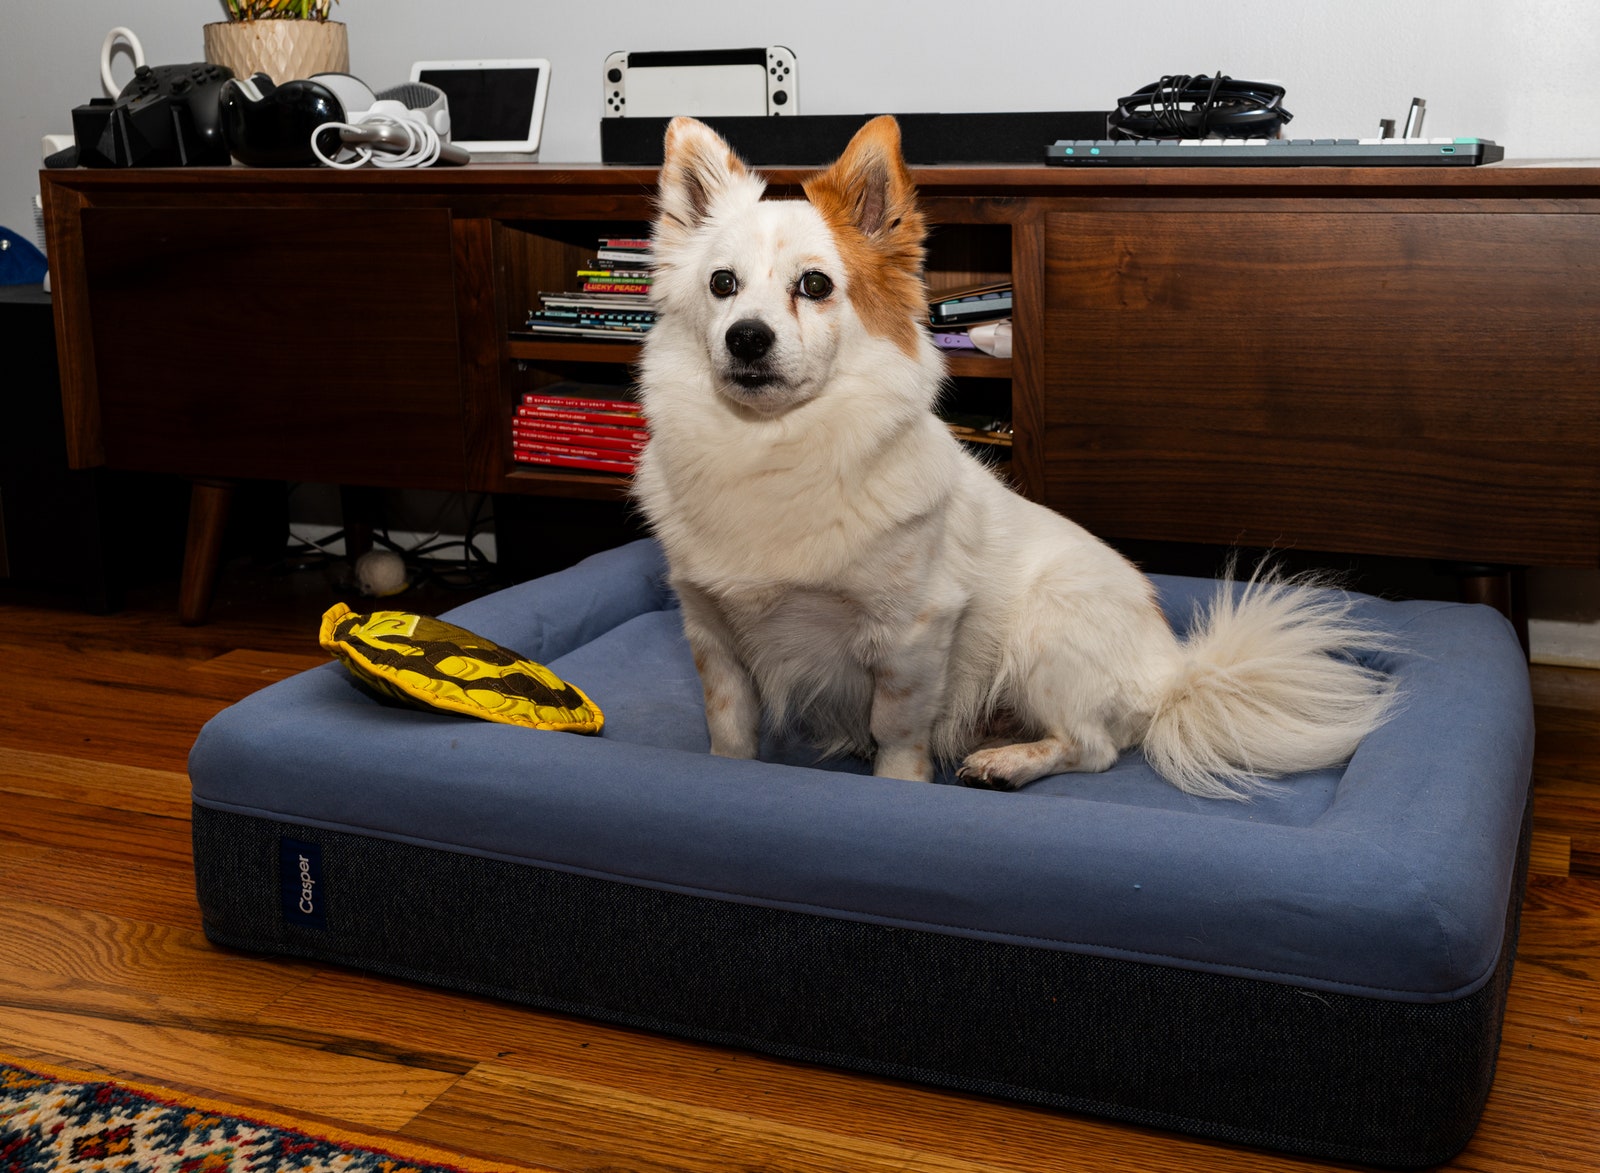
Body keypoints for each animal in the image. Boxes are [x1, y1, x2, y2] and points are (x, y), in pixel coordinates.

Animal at [630, 116, 1395, 796]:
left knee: (1092, 747)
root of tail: (1172, 670)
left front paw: (896, 788)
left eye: (815, 285)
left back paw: (1009, 763)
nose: (746, 338)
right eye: (722, 285)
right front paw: (728, 771)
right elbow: (730, 725)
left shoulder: (913, 634)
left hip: (1045, 633)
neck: (769, 443)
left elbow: (898, 730)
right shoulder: (712, 635)